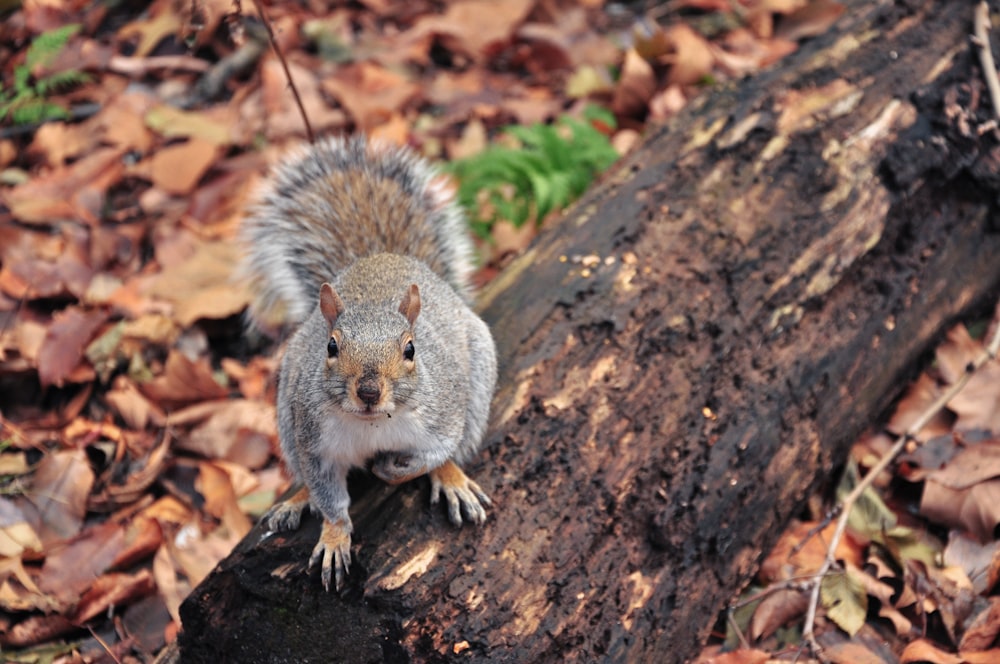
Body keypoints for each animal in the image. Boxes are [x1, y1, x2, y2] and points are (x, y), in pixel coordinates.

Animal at [238, 136, 496, 592]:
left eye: (411, 350)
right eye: (331, 346)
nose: (370, 391)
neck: (372, 425)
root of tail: (385, 256)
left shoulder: (443, 413)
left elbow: (435, 452)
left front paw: (396, 469)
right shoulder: (314, 440)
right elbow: (328, 495)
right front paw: (334, 536)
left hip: (479, 380)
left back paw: (452, 480)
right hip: (286, 414)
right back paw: (297, 498)